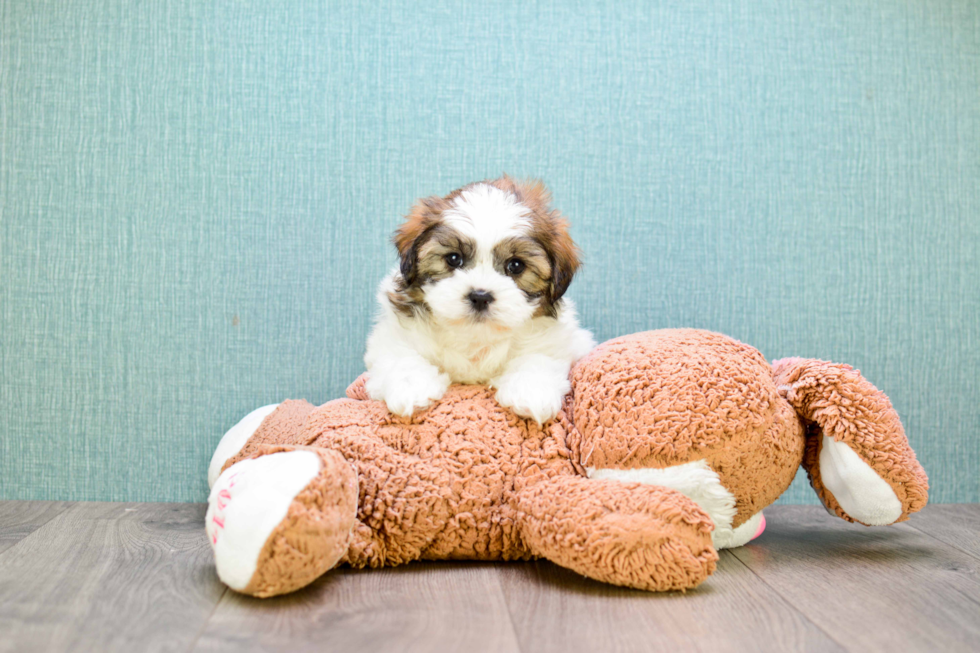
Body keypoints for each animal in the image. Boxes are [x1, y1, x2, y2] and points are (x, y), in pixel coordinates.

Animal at [366, 176, 596, 426]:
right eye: (453, 258)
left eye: (516, 265)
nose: (480, 296)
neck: (475, 336)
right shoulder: (392, 337)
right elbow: (402, 356)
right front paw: (411, 388)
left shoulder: (556, 341)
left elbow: (538, 358)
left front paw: (531, 392)